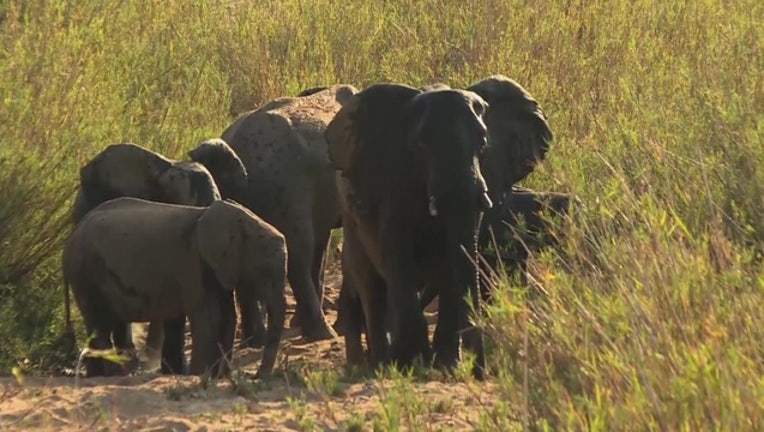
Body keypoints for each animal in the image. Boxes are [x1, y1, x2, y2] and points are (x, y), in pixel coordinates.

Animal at [62, 197, 287, 378]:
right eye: (265, 270)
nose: (256, 375)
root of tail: (71, 237)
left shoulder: (219, 268)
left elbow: (228, 316)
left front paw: (220, 375)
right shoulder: (192, 262)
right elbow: (209, 315)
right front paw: (199, 374)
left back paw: (97, 375)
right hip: (86, 272)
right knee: (99, 322)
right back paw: (117, 374)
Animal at [329, 76, 554, 378]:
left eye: (483, 145)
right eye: (421, 147)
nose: (481, 371)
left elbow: (455, 259)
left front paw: (447, 363)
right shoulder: (391, 183)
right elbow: (398, 259)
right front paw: (410, 363)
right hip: (351, 221)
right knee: (371, 284)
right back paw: (379, 364)